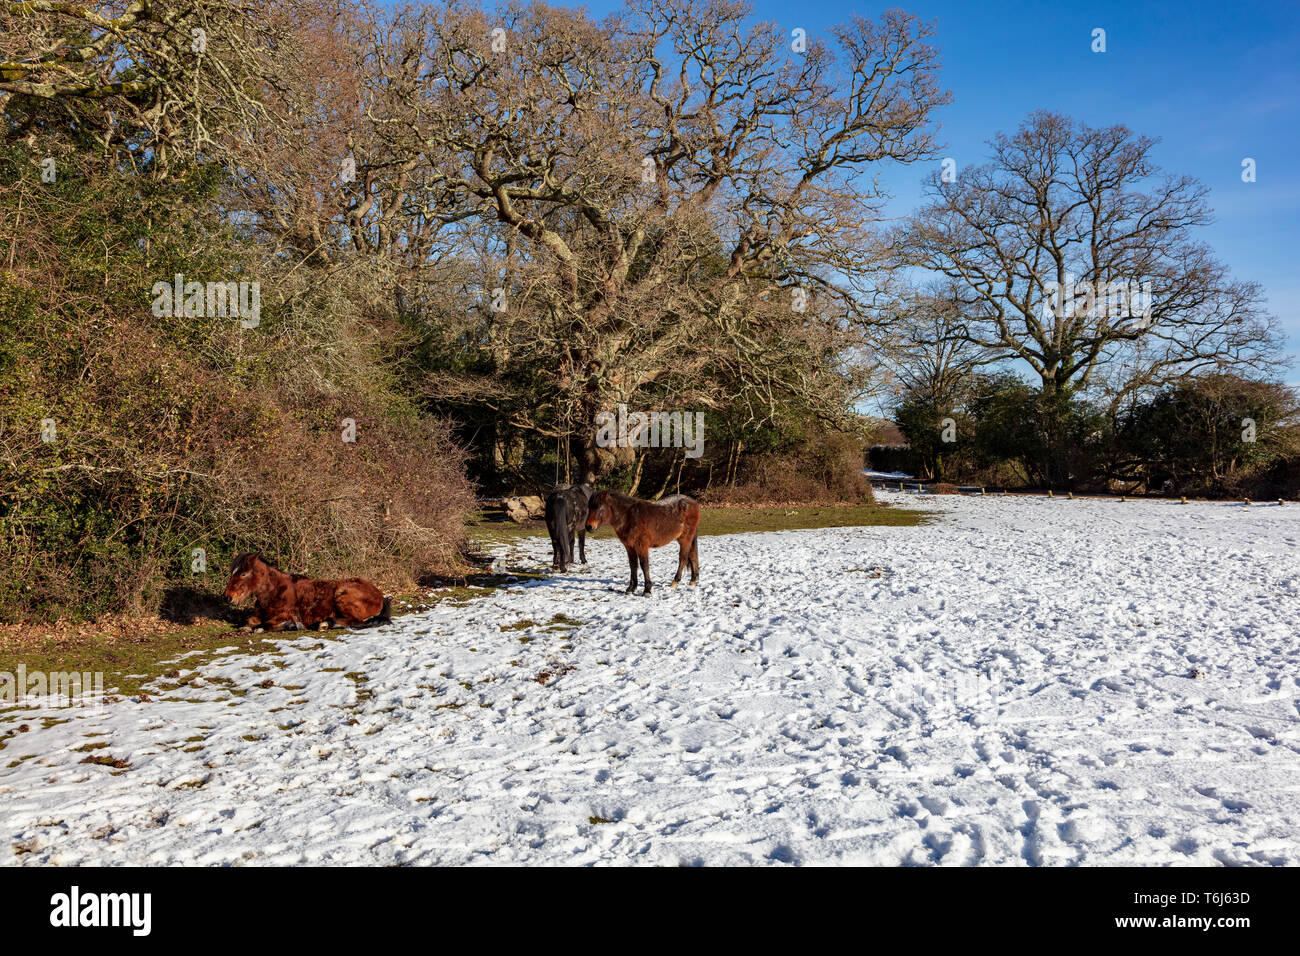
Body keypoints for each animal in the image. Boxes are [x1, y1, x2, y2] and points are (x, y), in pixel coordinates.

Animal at [223, 554, 387, 634]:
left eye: (243, 573)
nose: (227, 597)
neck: (274, 592)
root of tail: (379, 595)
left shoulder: (286, 615)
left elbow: (267, 624)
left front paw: (291, 626)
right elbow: (249, 621)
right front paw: (246, 627)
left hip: (342, 597)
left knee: (355, 621)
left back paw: (325, 624)